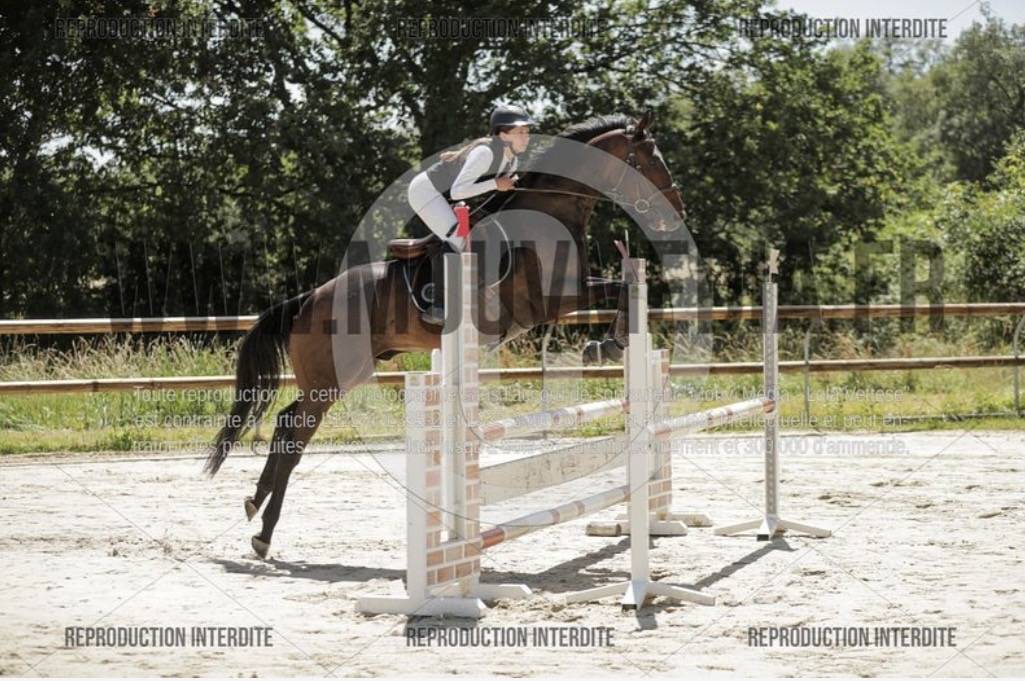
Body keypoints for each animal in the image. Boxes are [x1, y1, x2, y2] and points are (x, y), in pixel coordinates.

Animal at [203, 110, 687, 559]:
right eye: (648, 160)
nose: (677, 215)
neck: (550, 213)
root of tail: (307, 300)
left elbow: (627, 284)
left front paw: (609, 343)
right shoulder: (550, 299)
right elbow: (620, 285)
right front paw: (606, 344)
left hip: (343, 375)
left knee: (286, 425)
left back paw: (255, 506)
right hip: (333, 378)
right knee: (293, 434)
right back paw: (264, 532)